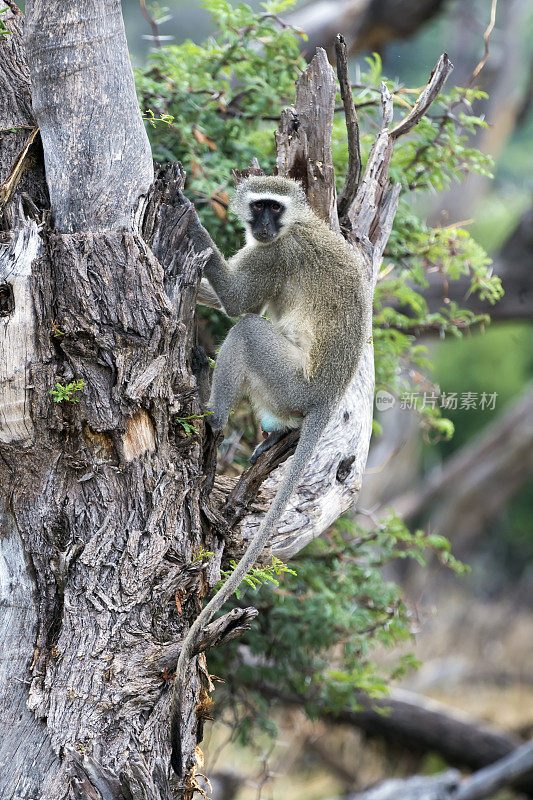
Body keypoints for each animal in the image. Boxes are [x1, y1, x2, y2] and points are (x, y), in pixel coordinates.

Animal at [170, 177, 370, 776]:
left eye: (271, 208)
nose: (259, 225)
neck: (296, 226)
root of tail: (326, 397)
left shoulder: (276, 255)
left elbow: (238, 305)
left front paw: (192, 221)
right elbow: (230, 300)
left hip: (288, 382)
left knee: (247, 331)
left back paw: (209, 416)